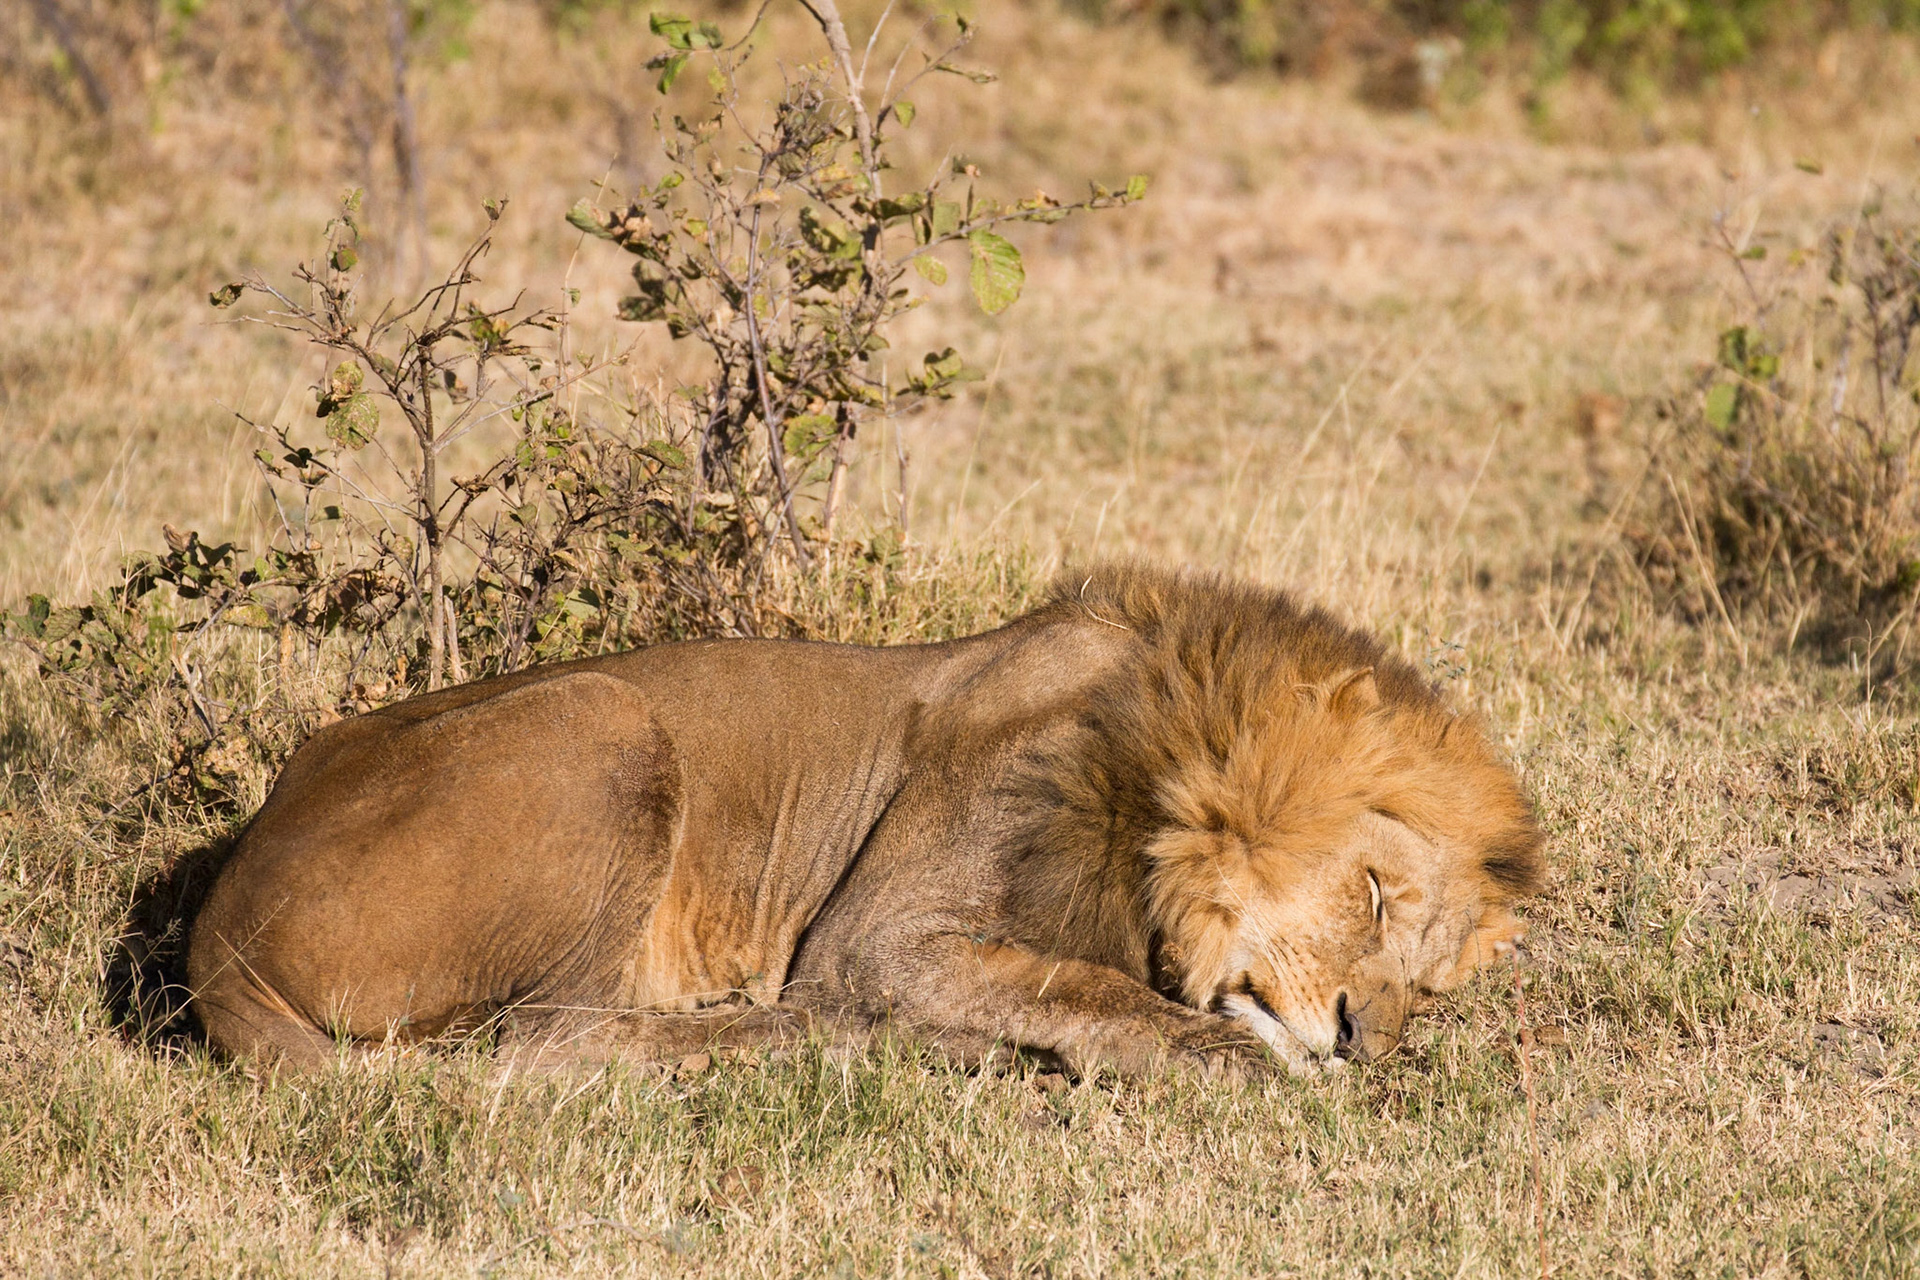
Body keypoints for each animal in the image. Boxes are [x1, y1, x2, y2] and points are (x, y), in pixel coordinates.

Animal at [188, 563, 1544, 1078]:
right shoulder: (875, 937)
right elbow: (1085, 984)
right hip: (606, 716)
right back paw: (813, 1037)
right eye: (1375, 891)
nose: (1368, 1036)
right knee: (545, 1041)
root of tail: (218, 918)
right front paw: (1220, 1052)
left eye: (1433, 984)